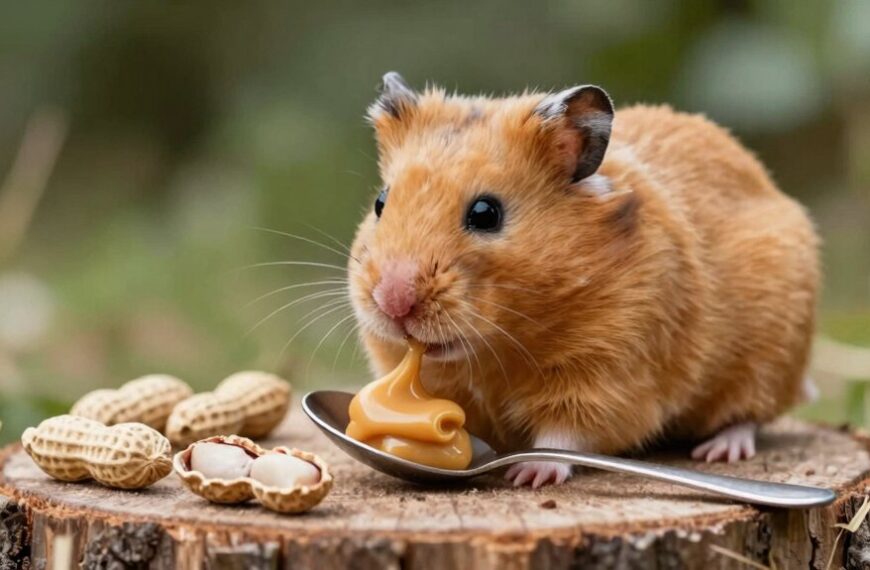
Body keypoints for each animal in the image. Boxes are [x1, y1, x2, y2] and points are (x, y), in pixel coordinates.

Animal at [347, 72, 819, 488]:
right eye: (381, 202)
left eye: (485, 213)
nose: (393, 302)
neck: (499, 347)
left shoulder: (608, 374)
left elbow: (564, 434)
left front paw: (528, 475)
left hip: (770, 353)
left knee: (750, 413)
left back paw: (720, 450)